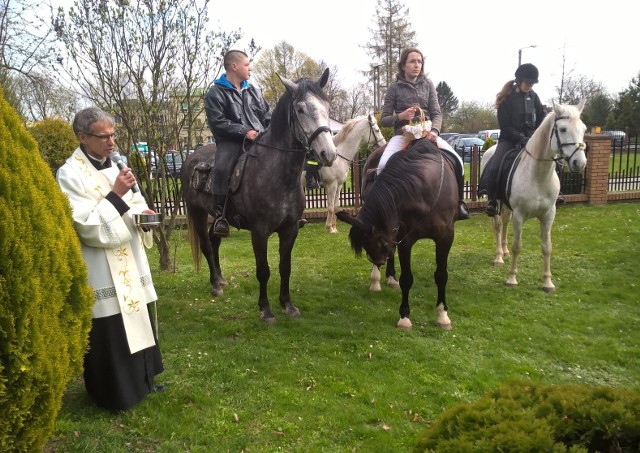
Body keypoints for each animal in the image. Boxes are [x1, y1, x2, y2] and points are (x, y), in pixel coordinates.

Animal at [181, 69, 336, 324]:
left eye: (327, 106)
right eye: (300, 109)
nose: (328, 153)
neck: (278, 175)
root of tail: (191, 159)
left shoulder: (290, 230)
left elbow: (285, 267)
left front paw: (288, 305)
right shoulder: (259, 232)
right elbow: (263, 270)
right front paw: (265, 310)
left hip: (218, 217)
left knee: (214, 241)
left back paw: (221, 278)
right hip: (197, 213)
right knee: (205, 245)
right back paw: (215, 285)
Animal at [338, 138, 458, 328]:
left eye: (379, 244)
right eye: (366, 246)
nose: (378, 261)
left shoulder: (445, 238)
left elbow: (441, 275)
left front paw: (442, 315)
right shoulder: (404, 240)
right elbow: (407, 278)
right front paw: (404, 317)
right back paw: (379, 280)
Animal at [480, 100, 584, 292]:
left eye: (583, 128)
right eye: (563, 129)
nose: (579, 163)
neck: (538, 175)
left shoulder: (549, 215)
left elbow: (547, 247)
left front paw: (548, 282)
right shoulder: (520, 215)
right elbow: (517, 246)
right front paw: (512, 278)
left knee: (505, 222)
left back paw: (504, 252)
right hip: (496, 202)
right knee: (498, 225)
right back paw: (499, 257)